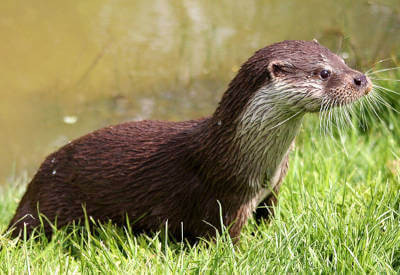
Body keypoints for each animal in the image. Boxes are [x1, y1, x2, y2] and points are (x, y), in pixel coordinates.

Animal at [7, 40, 372, 242]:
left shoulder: (272, 192)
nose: (362, 79)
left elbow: (269, 218)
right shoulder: (227, 201)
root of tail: (31, 187)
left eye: (343, 59)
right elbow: (225, 240)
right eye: (324, 73)